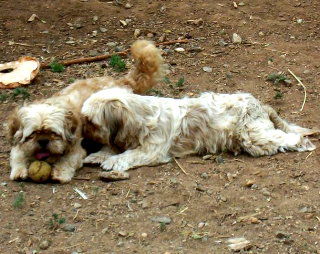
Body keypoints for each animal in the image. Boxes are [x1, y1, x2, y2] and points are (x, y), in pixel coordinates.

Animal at [6, 40, 164, 183]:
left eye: (54, 133)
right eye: (33, 134)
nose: (43, 141)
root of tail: (121, 82)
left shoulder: (76, 149)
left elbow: (67, 161)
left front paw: (61, 173)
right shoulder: (18, 144)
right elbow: (17, 155)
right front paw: (19, 171)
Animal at [81, 87, 316, 173]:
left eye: (91, 122)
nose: (83, 137)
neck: (141, 115)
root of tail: (259, 103)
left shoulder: (151, 150)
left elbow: (129, 155)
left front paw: (112, 161)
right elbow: (113, 146)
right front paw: (98, 155)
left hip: (252, 136)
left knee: (286, 138)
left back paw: (303, 143)